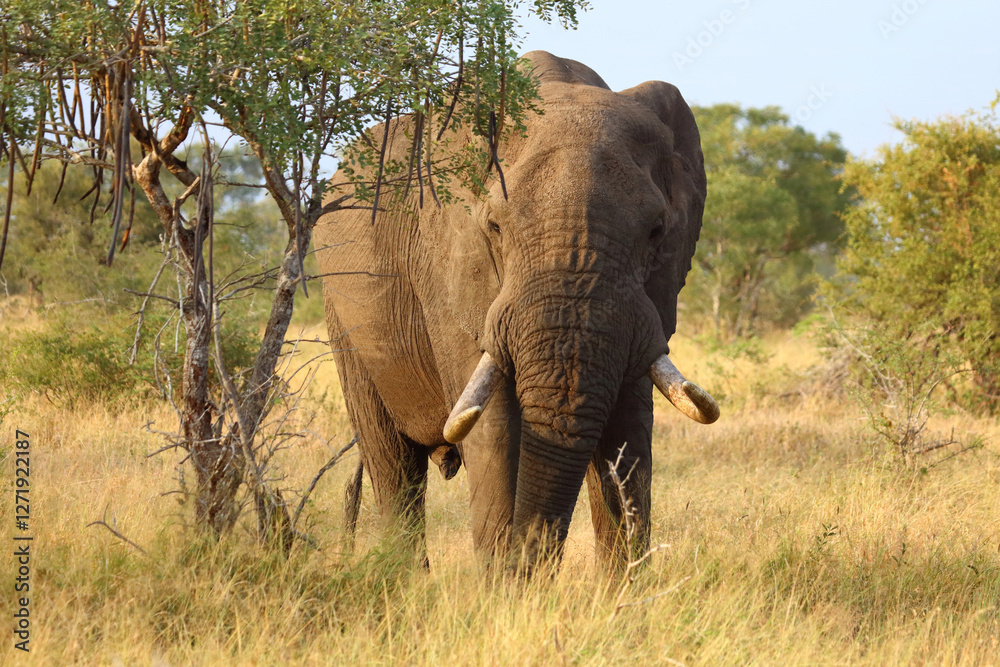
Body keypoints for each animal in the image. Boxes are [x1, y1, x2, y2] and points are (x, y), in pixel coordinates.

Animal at [314, 51, 718, 573]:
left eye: (657, 230)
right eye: (494, 226)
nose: (531, 572)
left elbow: (628, 432)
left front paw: (623, 590)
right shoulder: (450, 268)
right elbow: (493, 427)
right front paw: (503, 589)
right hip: (341, 312)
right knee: (393, 465)